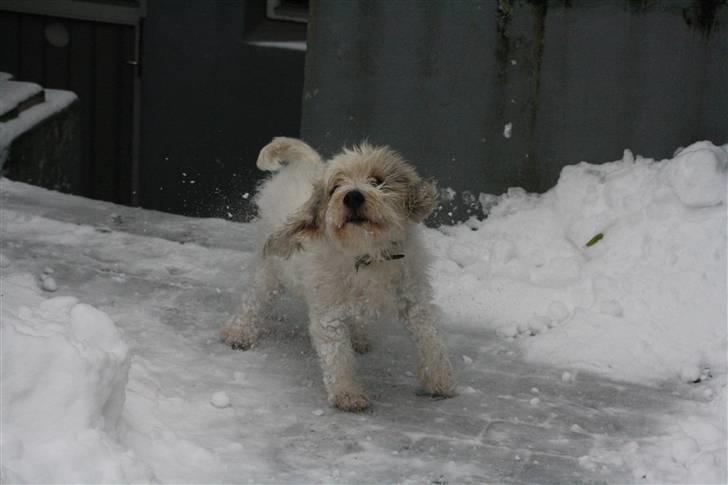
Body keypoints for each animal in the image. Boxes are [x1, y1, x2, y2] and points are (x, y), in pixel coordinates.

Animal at [220, 138, 456, 410]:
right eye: (335, 187)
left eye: (377, 180)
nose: (352, 196)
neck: (366, 254)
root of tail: (303, 166)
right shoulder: (328, 314)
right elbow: (337, 357)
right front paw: (347, 393)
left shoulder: (415, 300)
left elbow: (431, 340)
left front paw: (439, 380)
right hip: (271, 272)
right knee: (252, 301)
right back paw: (239, 332)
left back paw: (359, 336)